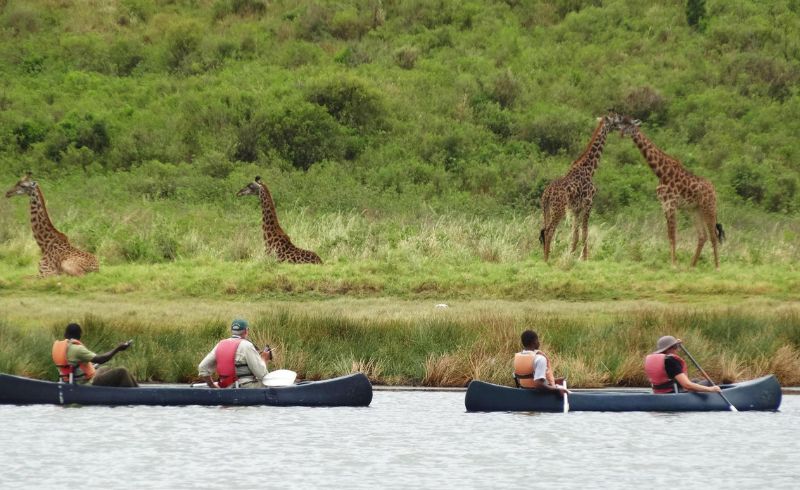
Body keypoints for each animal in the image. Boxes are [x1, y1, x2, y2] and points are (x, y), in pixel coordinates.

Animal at [536, 111, 624, 262]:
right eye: (615, 120)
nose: (620, 127)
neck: (590, 169)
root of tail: (546, 194)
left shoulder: (576, 209)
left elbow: (575, 235)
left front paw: (571, 256)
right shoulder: (588, 204)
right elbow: (585, 233)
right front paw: (585, 258)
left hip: (546, 209)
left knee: (544, 230)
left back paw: (545, 257)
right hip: (559, 210)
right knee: (549, 231)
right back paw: (547, 260)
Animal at [620, 117, 724, 270]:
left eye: (628, 125)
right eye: (622, 123)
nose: (621, 134)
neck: (660, 172)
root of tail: (714, 190)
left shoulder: (670, 203)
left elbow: (672, 234)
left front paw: (673, 264)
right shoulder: (664, 204)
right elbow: (669, 234)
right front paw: (674, 263)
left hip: (708, 208)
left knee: (713, 235)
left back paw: (717, 267)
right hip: (695, 210)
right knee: (702, 236)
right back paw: (691, 266)